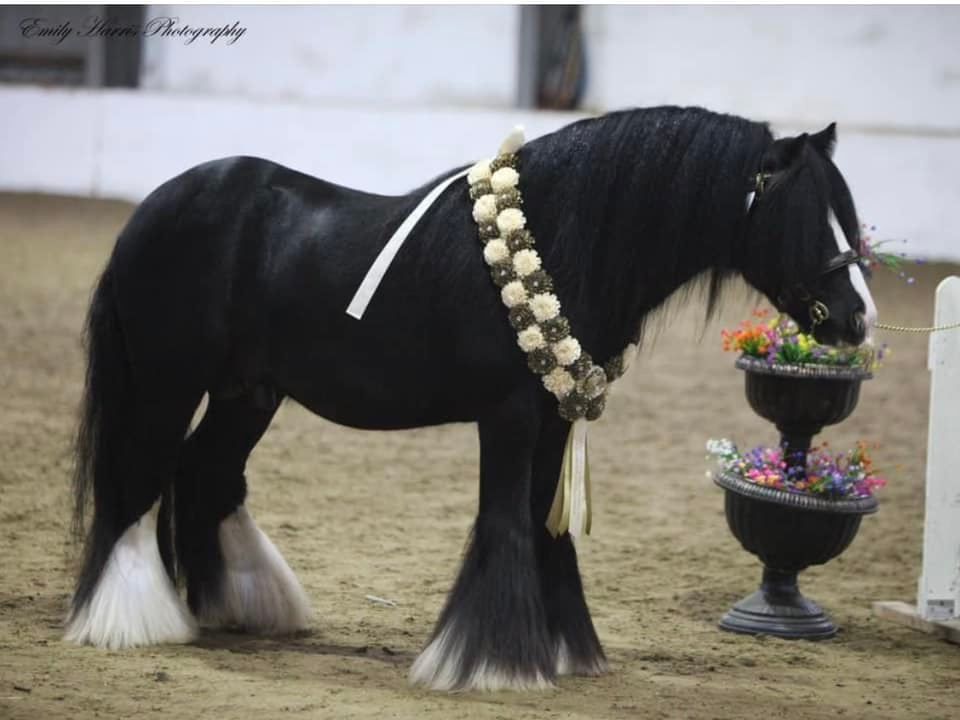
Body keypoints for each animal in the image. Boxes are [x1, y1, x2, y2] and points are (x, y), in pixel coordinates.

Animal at [65, 107, 876, 692]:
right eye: (807, 214)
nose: (858, 318)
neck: (558, 240)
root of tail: (155, 208)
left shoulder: (556, 420)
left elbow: (548, 532)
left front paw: (564, 650)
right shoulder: (509, 417)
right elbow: (506, 525)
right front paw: (493, 664)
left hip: (247, 394)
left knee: (203, 474)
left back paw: (232, 606)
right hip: (168, 384)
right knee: (136, 484)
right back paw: (130, 620)